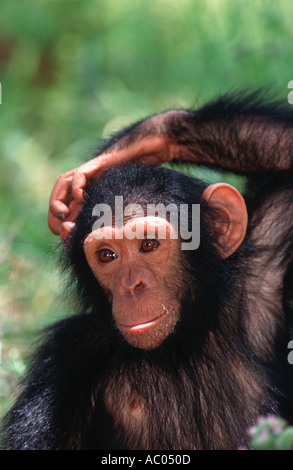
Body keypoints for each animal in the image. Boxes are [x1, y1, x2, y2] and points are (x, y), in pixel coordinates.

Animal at [1, 92, 292, 452]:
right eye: (107, 255)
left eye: (149, 244)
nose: (132, 285)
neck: (181, 345)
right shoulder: (63, 365)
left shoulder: (267, 257)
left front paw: (136, 143)